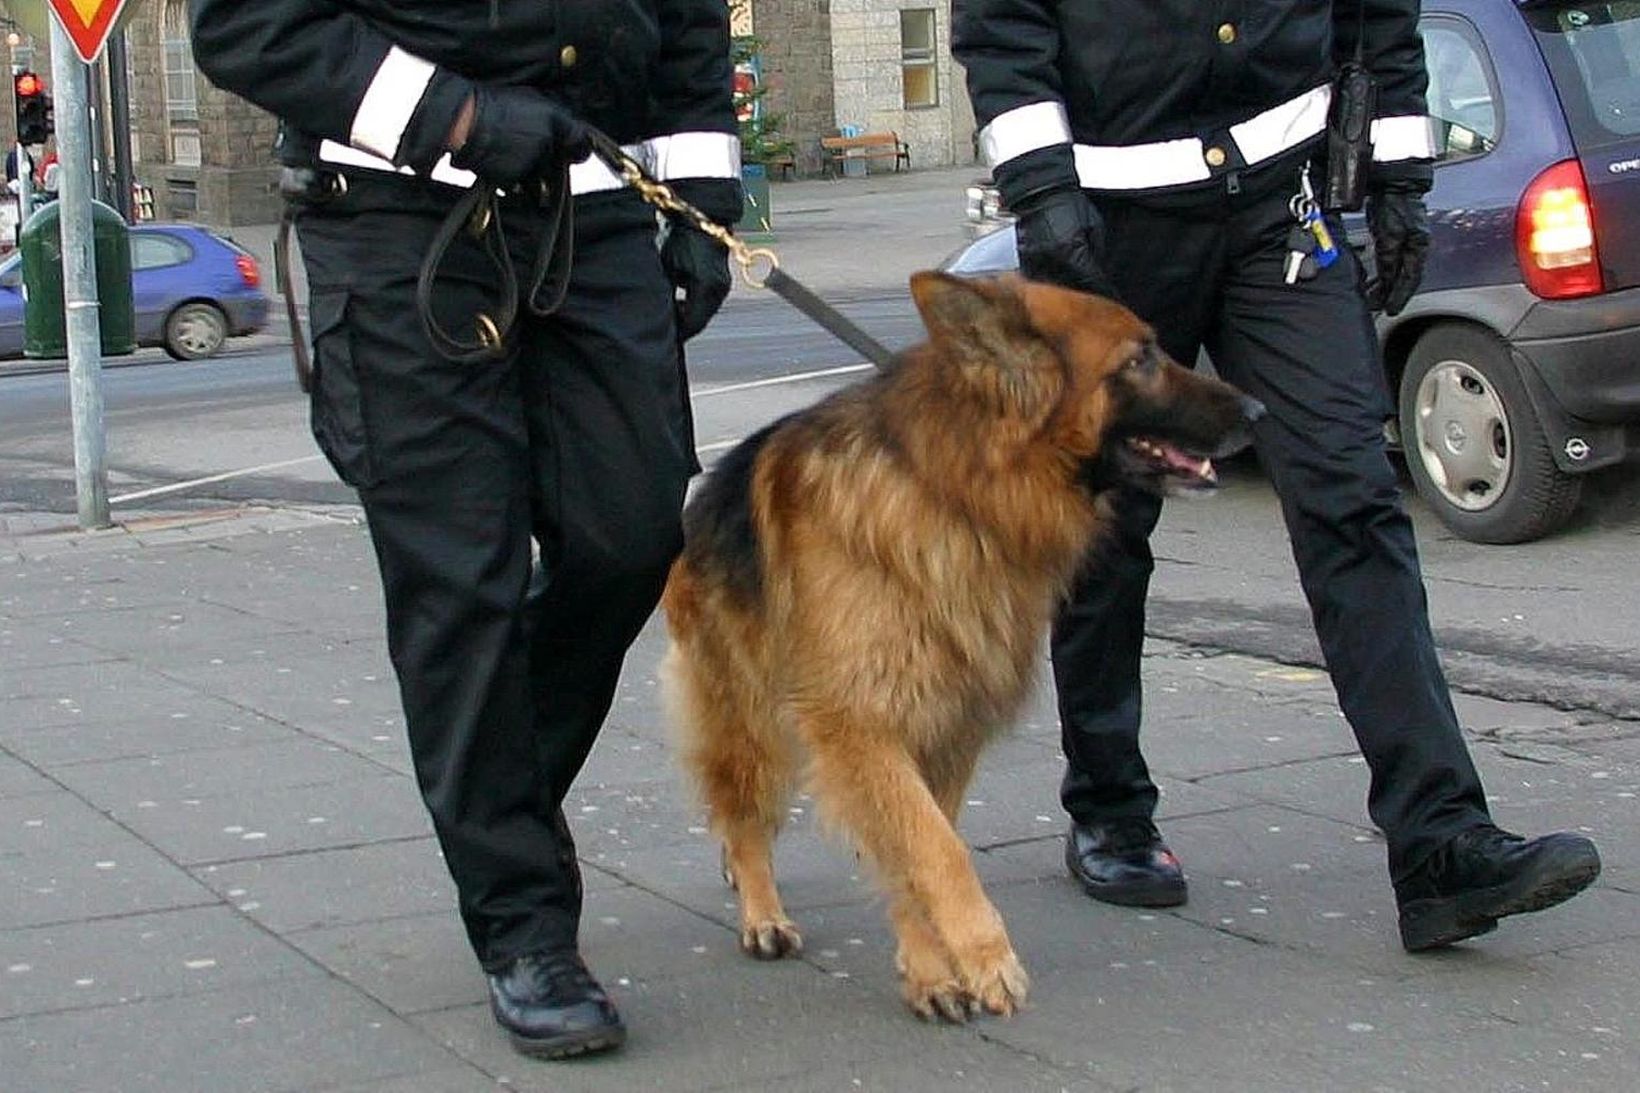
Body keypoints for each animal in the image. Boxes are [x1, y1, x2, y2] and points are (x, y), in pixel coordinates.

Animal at [659, 267, 1259, 1017]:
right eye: (1140, 359)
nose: (1258, 410)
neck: (957, 494)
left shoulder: (946, 728)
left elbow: (918, 846)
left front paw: (930, 971)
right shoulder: (861, 725)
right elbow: (938, 849)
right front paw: (985, 954)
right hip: (748, 716)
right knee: (742, 813)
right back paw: (762, 910)